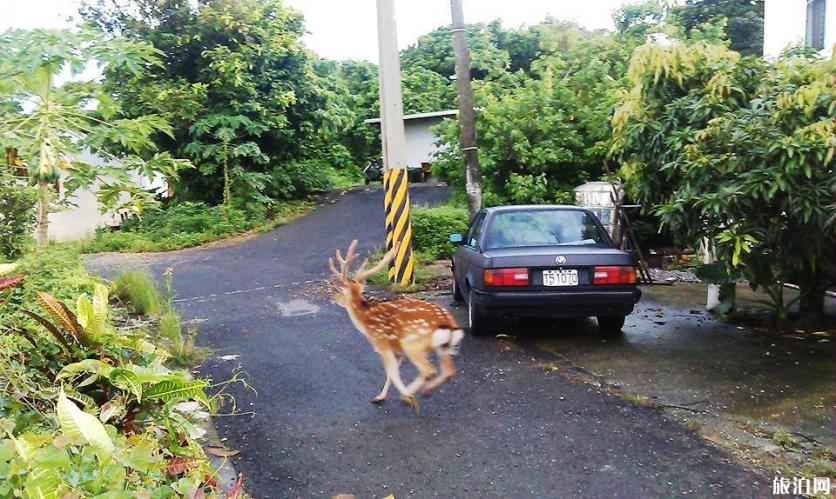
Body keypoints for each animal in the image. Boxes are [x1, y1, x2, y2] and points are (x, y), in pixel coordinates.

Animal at [332, 241, 464, 414]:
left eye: (341, 291)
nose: (332, 297)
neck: (365, 321)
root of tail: (447, 323)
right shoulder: (397, 351)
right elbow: (391, 373)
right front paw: (380, 397)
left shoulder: (382, 343)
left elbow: (393, 373)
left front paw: (405, 397)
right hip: (443, 347)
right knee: (449, 371)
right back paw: (425, 391)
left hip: (412, 344)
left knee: (428, 370)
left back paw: (410, 396)